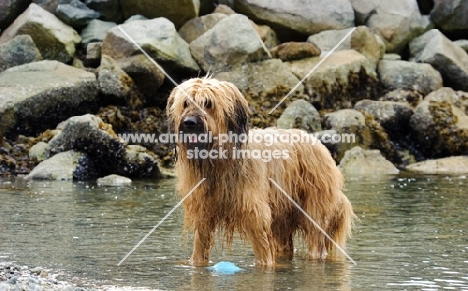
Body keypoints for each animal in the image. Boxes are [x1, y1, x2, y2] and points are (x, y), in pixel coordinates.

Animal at [166, 77, 352, 266]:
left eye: (208, 103)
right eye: (185, 103)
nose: (189, 122)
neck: (218, 163)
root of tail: (317, 142)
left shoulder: (254, 212)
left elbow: (262, 247)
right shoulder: (203, 212)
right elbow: (200, 244)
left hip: (314, 206)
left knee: (316, 240)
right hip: (283, 215)